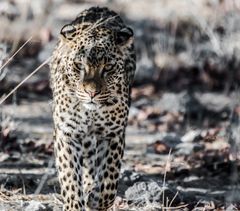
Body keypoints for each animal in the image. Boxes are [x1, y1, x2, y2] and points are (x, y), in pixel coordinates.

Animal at [49, 6, 135, 211]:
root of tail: (99, 8)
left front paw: (97, 199)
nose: (92, 93)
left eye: (108, 67)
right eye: (79, 65)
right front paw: (75, 204)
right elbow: (70, 178)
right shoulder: (67, 133)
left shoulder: (114, 134)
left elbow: (110, 179)